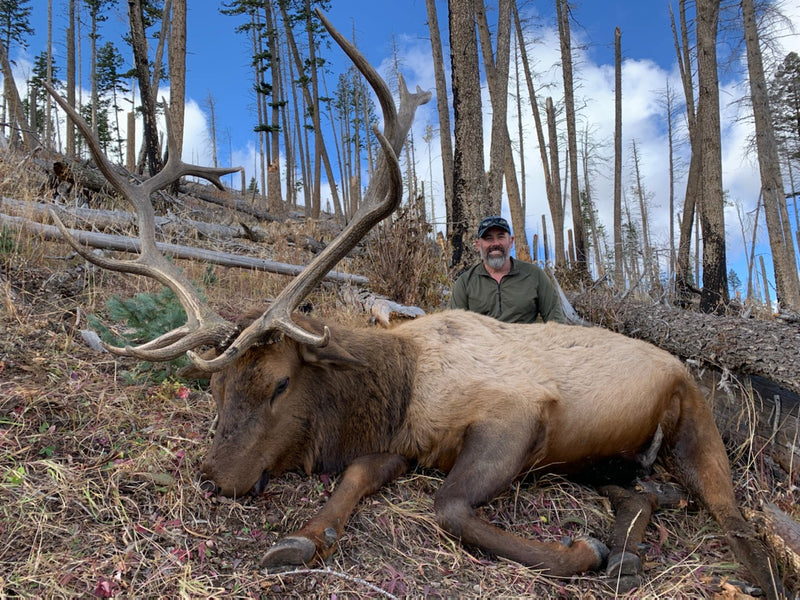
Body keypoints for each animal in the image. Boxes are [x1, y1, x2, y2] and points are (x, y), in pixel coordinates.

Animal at [42, 10, 781, 599]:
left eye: (280, 383)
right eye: (217, 387)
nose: (220, 477)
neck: (399, 388)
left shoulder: (517, 413)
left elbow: (448, 508)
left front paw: (580, 548)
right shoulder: (398, 448)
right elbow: (357, 477)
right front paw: (303, 537)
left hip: (694, 423)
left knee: (736, 518)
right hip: (603, 461)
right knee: (642, 493)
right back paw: (631, 539)